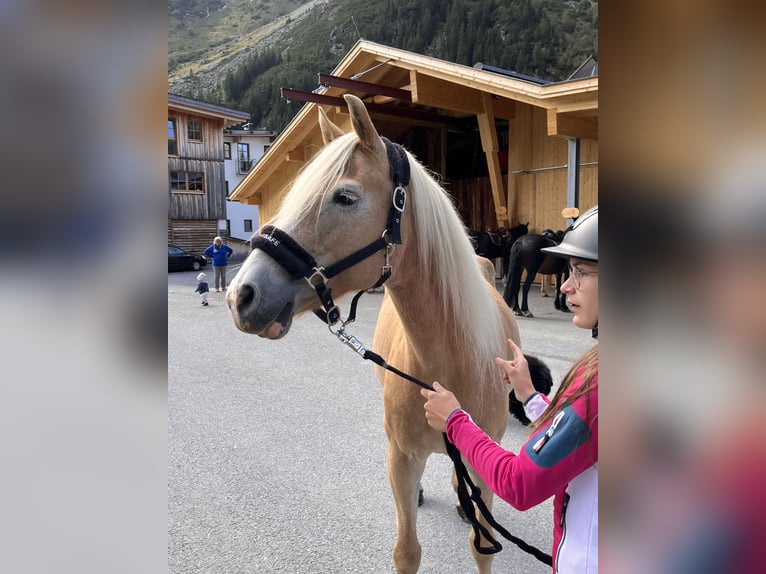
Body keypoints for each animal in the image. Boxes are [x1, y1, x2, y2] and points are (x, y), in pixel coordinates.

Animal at [225, 95, 532, 574]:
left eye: (346, 197)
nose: (242, 294)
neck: (451, 364)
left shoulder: (488, 464)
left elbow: (482, 544)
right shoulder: (401, 460)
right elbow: (406, 551)